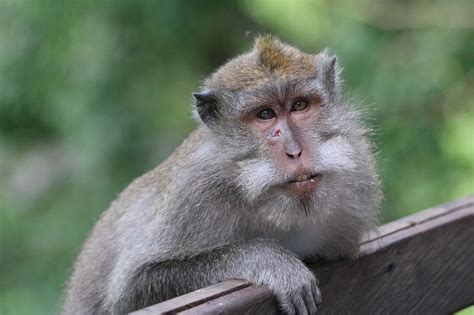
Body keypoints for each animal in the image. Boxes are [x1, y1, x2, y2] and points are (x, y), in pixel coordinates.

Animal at [63, 35, 382, 315]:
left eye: (300, 105)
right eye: (265, 114)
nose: (295, 151)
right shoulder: (194, 190)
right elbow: (133, 288)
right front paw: (270, 260)